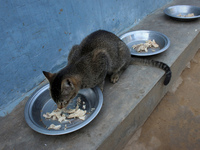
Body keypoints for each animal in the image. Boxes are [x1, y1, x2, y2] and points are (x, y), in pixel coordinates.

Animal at [43, 29, 171, 108]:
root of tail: (129, 56)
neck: (76, 65)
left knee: (123, 67)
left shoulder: (102, 57)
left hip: (120, 55)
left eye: (62, 102)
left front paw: (100, 87)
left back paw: (115, 75)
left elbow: (101, 80)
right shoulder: (74, 48)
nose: (59, 108)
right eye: (54, 101)